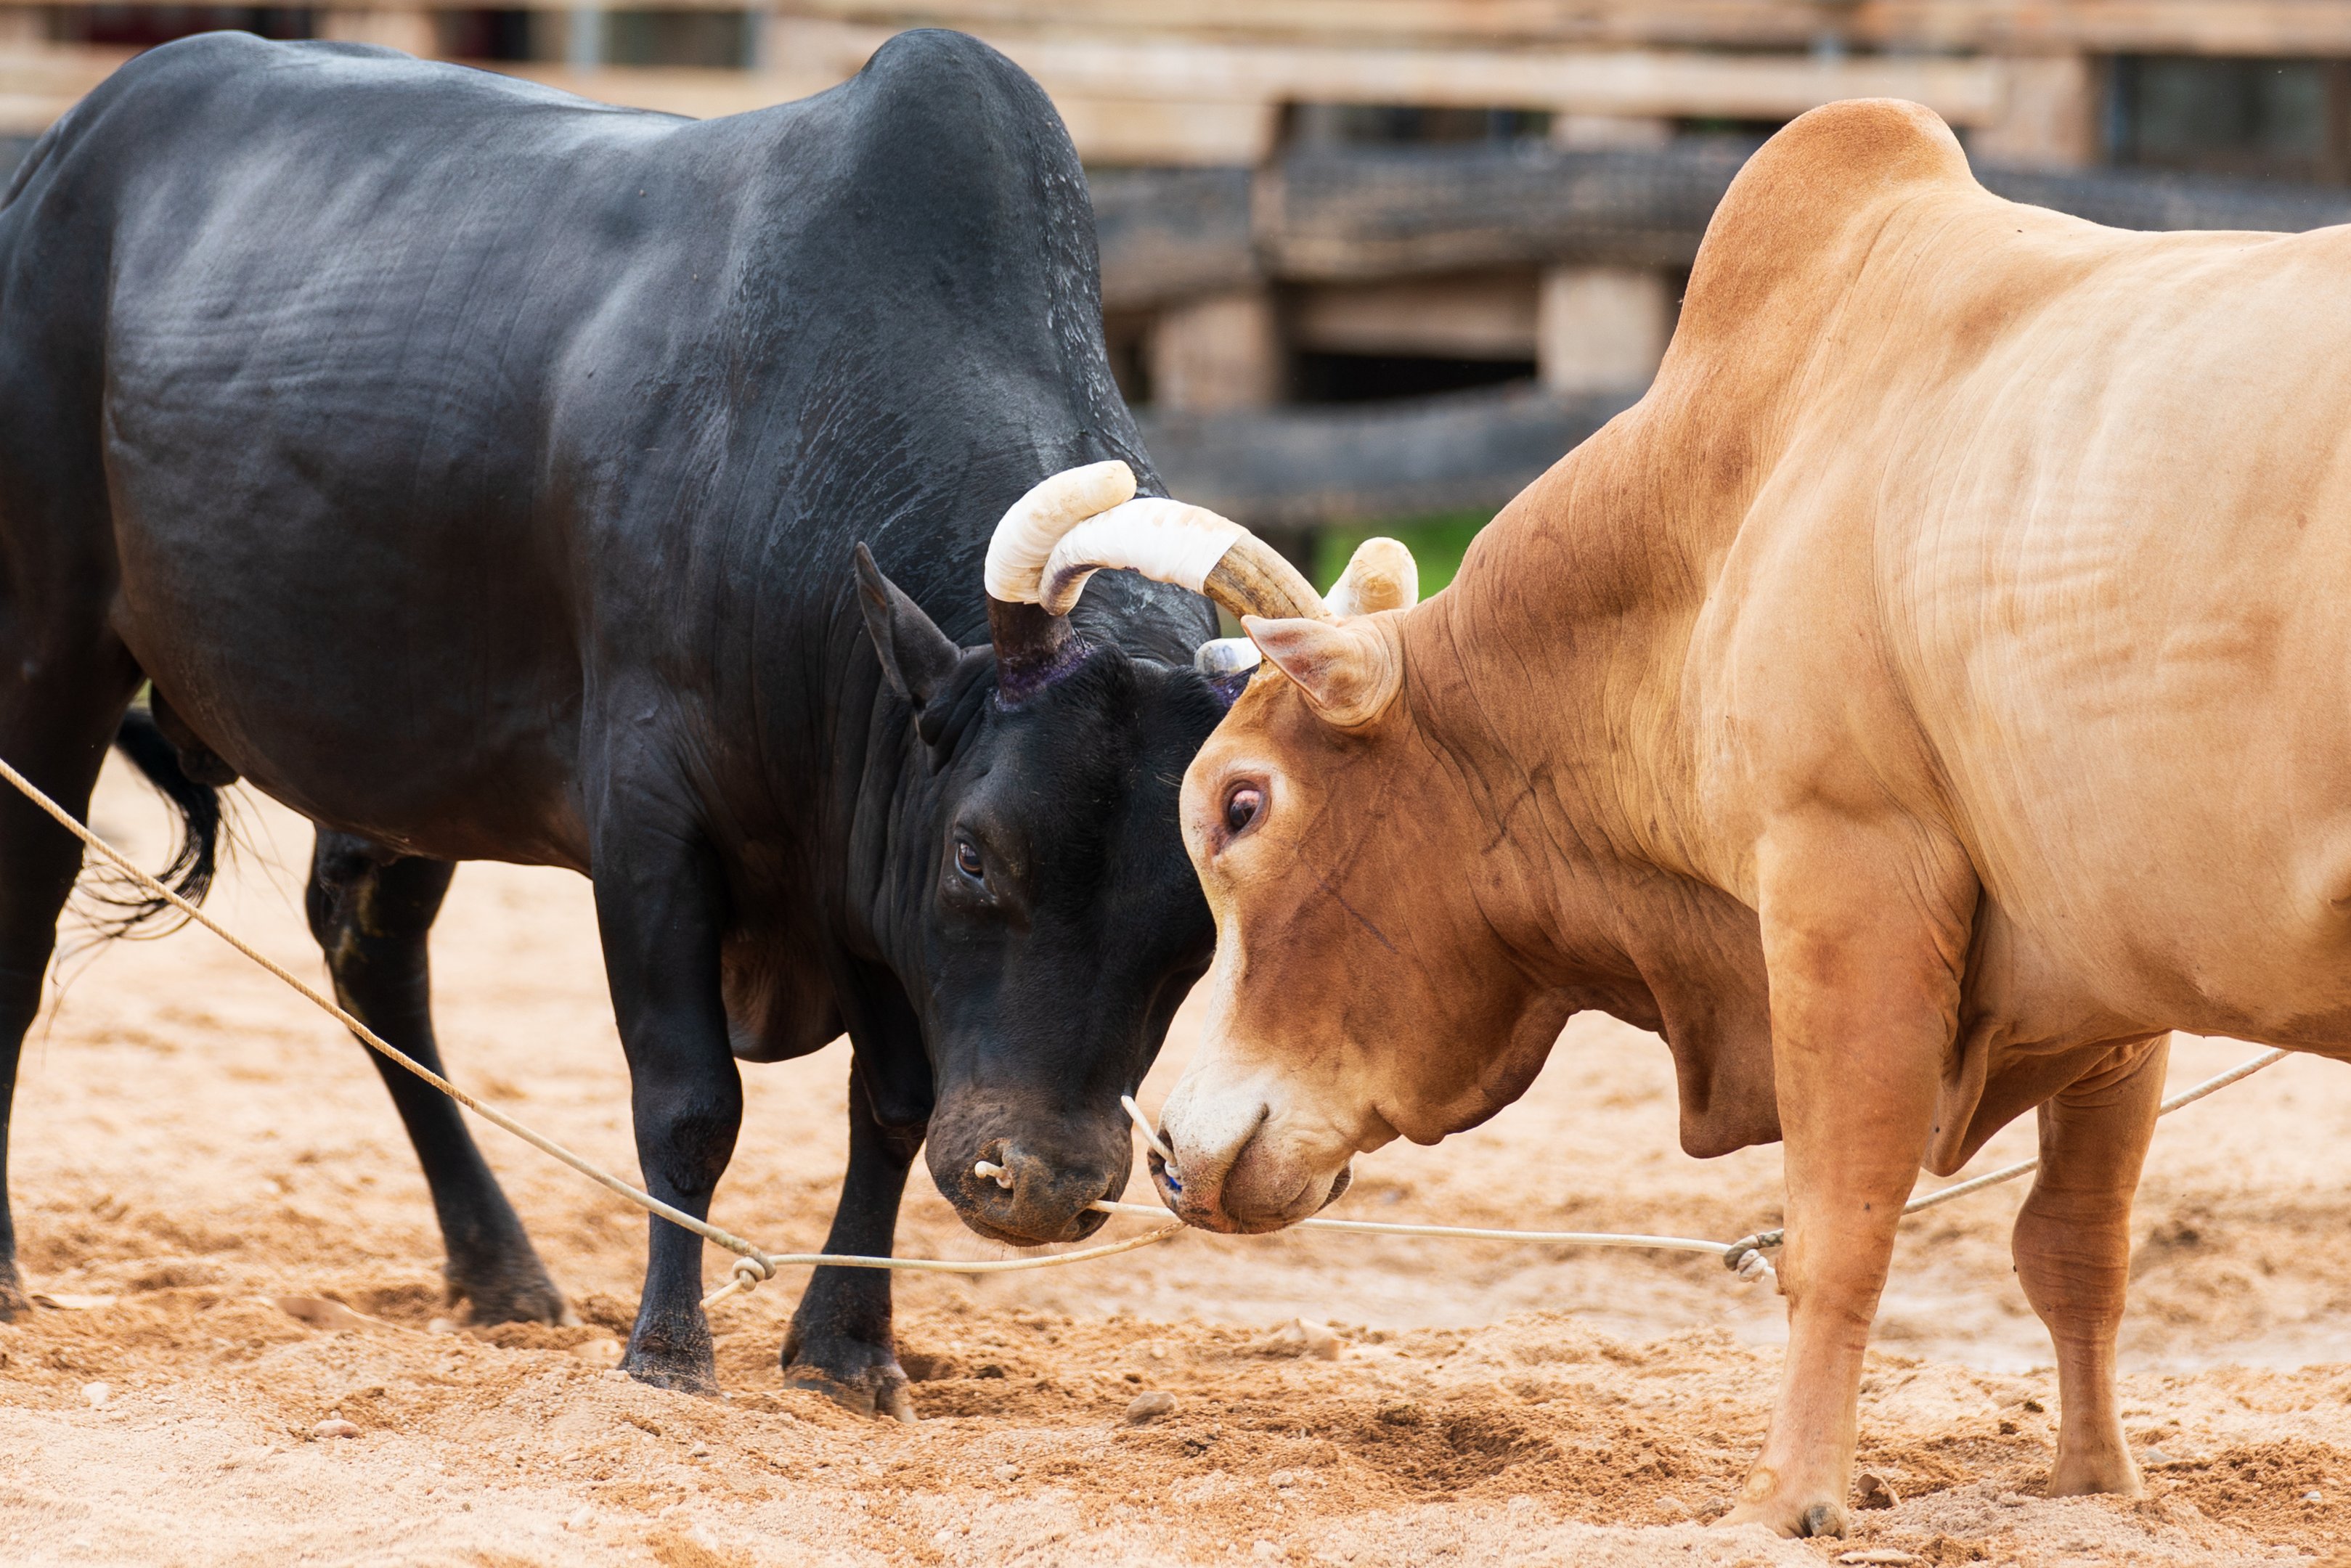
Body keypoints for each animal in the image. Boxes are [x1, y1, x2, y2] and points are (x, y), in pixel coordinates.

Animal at [4, 30, 1231, 1401]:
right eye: (976, 853)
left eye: (1205, 907)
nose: (1043, 1184)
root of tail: (72, 147)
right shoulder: (652, 824)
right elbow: (691, 1104)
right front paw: (669, 1348)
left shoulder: (862, 871)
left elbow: (892, 1104)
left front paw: (842, 1346)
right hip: (44, 656)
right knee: (19, 947)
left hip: (407, 771)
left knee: (375, 965)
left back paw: (499, 1272)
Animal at [982, 98, 2351, 1532]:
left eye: (1238, 805)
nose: (1172, 1154)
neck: (1734, 491)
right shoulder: (2110, 1000)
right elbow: (2073, 1250)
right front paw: (2092, 1483)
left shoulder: (1841, 879)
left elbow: (1838, 1225)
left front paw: (1787, 1497)